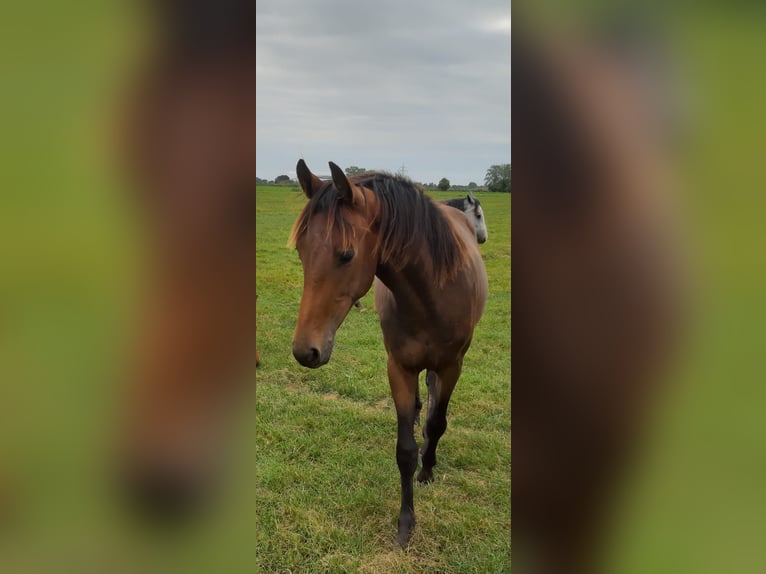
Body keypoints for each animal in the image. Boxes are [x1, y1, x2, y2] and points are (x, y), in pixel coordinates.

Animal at [292, 160, 488, 548]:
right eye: (301, 252)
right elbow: (404, 450)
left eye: (346, 254)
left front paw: (427, 469)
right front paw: (406, 523)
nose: (305, 351)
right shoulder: (398, 368)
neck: (432, 294)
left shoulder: (452, 366)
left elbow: (438, 423)